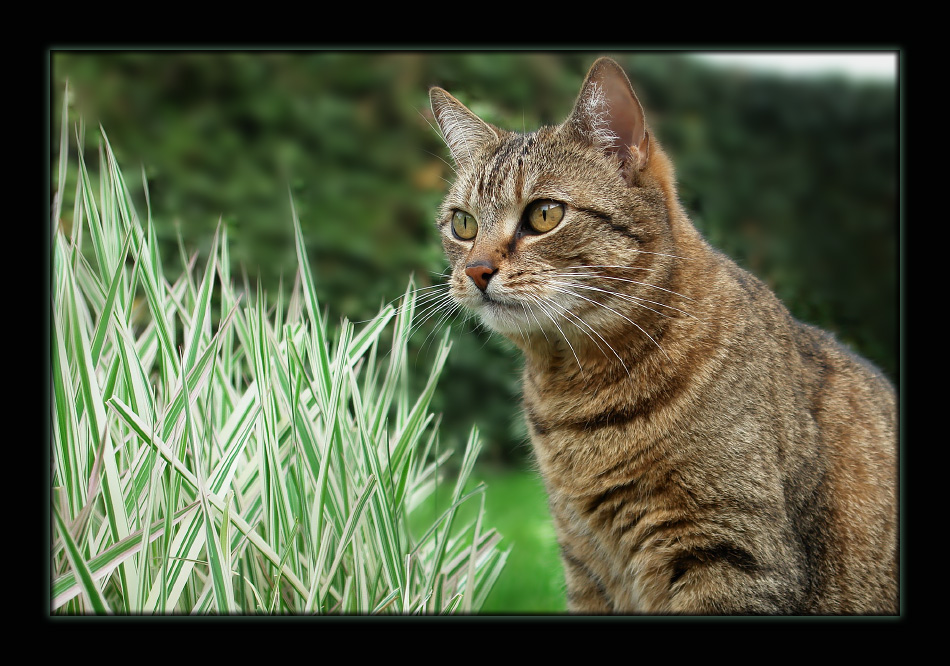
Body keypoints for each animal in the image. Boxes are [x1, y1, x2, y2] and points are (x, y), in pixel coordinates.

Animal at [430, 57, 900, 612]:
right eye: (462, 224)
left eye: (544, 214)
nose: (476, 270)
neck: (575, 392)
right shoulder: (586, 566)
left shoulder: (729, 554)